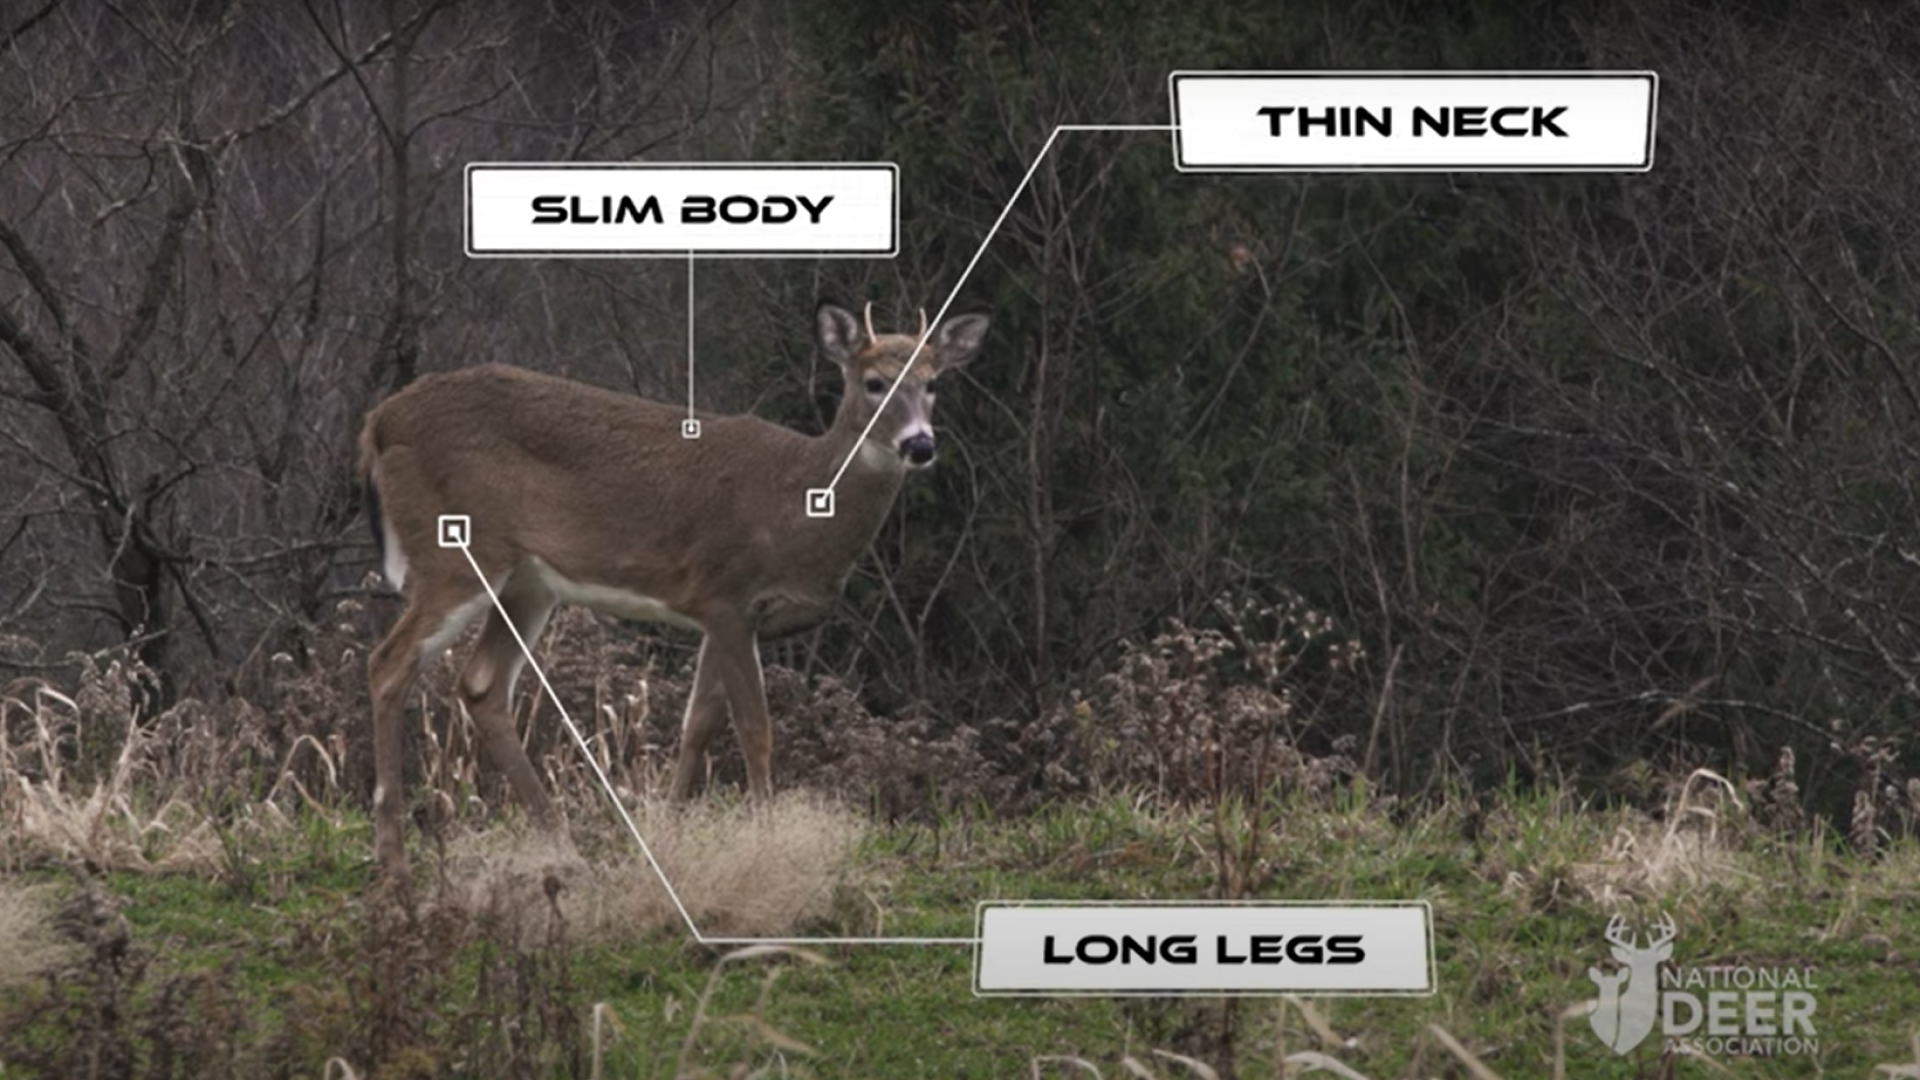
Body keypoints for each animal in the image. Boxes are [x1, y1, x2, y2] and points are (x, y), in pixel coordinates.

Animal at [357, 300, 991, 884]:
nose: (919, 445)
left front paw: (664, 834)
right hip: (457, 552)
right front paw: (765, 842)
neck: (798, 507)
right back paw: (394, 861)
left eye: (932, 383)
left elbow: (699, 723)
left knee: (482, 685)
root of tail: (380, 421)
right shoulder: (728, 591)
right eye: (874, 382)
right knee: (389, 662)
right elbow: (754, 728)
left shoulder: (721, 613)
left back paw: (565, 851)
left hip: (527, 584)